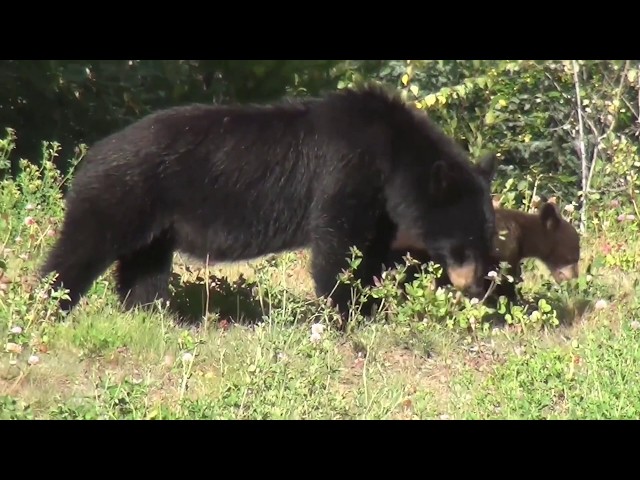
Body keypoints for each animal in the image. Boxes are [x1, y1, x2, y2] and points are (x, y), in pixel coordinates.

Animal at [40, 83, 500, 322]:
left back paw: (149, 314)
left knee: (145, 270)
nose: (479, 284)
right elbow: (337, 239)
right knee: (81, 249)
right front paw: (342, 309)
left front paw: (370, 304)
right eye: (467, 242)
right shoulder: (348, 168)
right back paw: (48, 304)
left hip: (155, 225)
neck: (393, 154)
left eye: (488, 237)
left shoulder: (383, 203)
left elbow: (373, 250)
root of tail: (89, 157)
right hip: (121, 196)